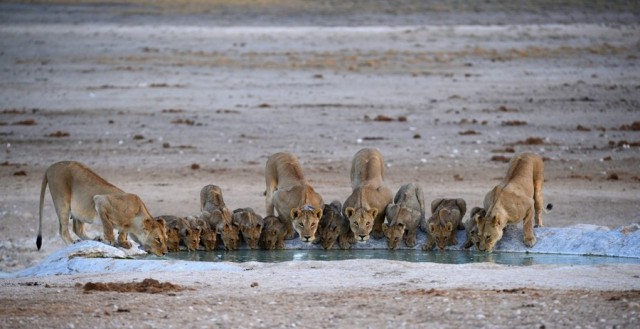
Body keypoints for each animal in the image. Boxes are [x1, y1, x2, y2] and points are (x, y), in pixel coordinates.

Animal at [37, 160, 168, 255]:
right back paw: (73, 242)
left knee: (77, 229)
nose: (166, 253)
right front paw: (110, 240)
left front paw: (124, 242)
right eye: (158, 239)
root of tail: (51, 166)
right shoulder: (100, 201)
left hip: (79, 211)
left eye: (166, 238)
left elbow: (122, 231)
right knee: (63, 230)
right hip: (62, 202)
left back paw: (94, 239)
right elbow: (107, 225)